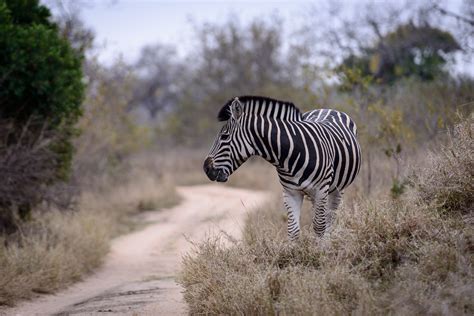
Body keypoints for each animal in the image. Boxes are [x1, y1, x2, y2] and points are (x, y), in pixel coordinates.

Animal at [202, 95, 362, 238]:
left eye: (224, 136)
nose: (206, 169)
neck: (291, 154)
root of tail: (326, 109)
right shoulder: (290, 192)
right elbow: (293, 231)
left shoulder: (321, 189)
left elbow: (319, 227)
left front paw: (322, 253)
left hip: (337, 189)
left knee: (329, 219)